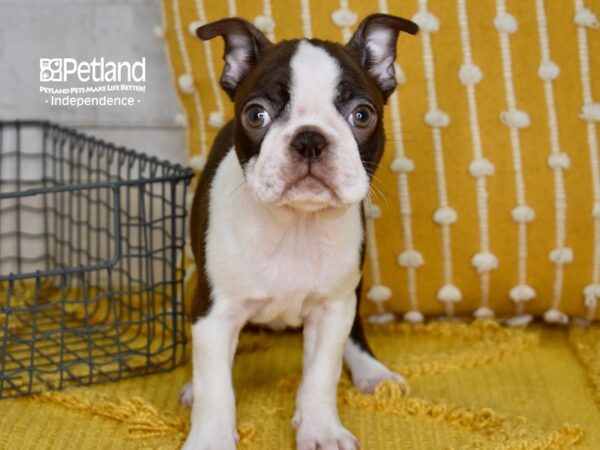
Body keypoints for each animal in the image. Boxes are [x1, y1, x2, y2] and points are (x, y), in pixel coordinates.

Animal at [180, 14, 420, 450]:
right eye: (256, 115)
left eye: (363, 115)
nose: (309, 138)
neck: (296, 225)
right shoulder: (213, 311)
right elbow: (215, 386)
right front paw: (211, 438)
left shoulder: (331, 309)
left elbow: (321, 375)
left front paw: (321, 429)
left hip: (352, 291)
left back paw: (372, 371)